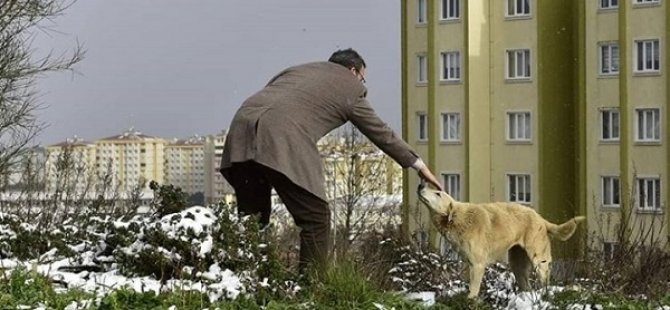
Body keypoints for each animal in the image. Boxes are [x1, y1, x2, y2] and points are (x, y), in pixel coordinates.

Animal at [418, 182, 584, 298]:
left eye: (438, 193)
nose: (421, 185)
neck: (459, 219)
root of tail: (541, 219)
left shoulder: (477, 265)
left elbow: (473, 291)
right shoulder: (469, 263)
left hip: (539, 261)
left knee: (545, 280)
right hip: (518, 265)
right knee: (527, 286)